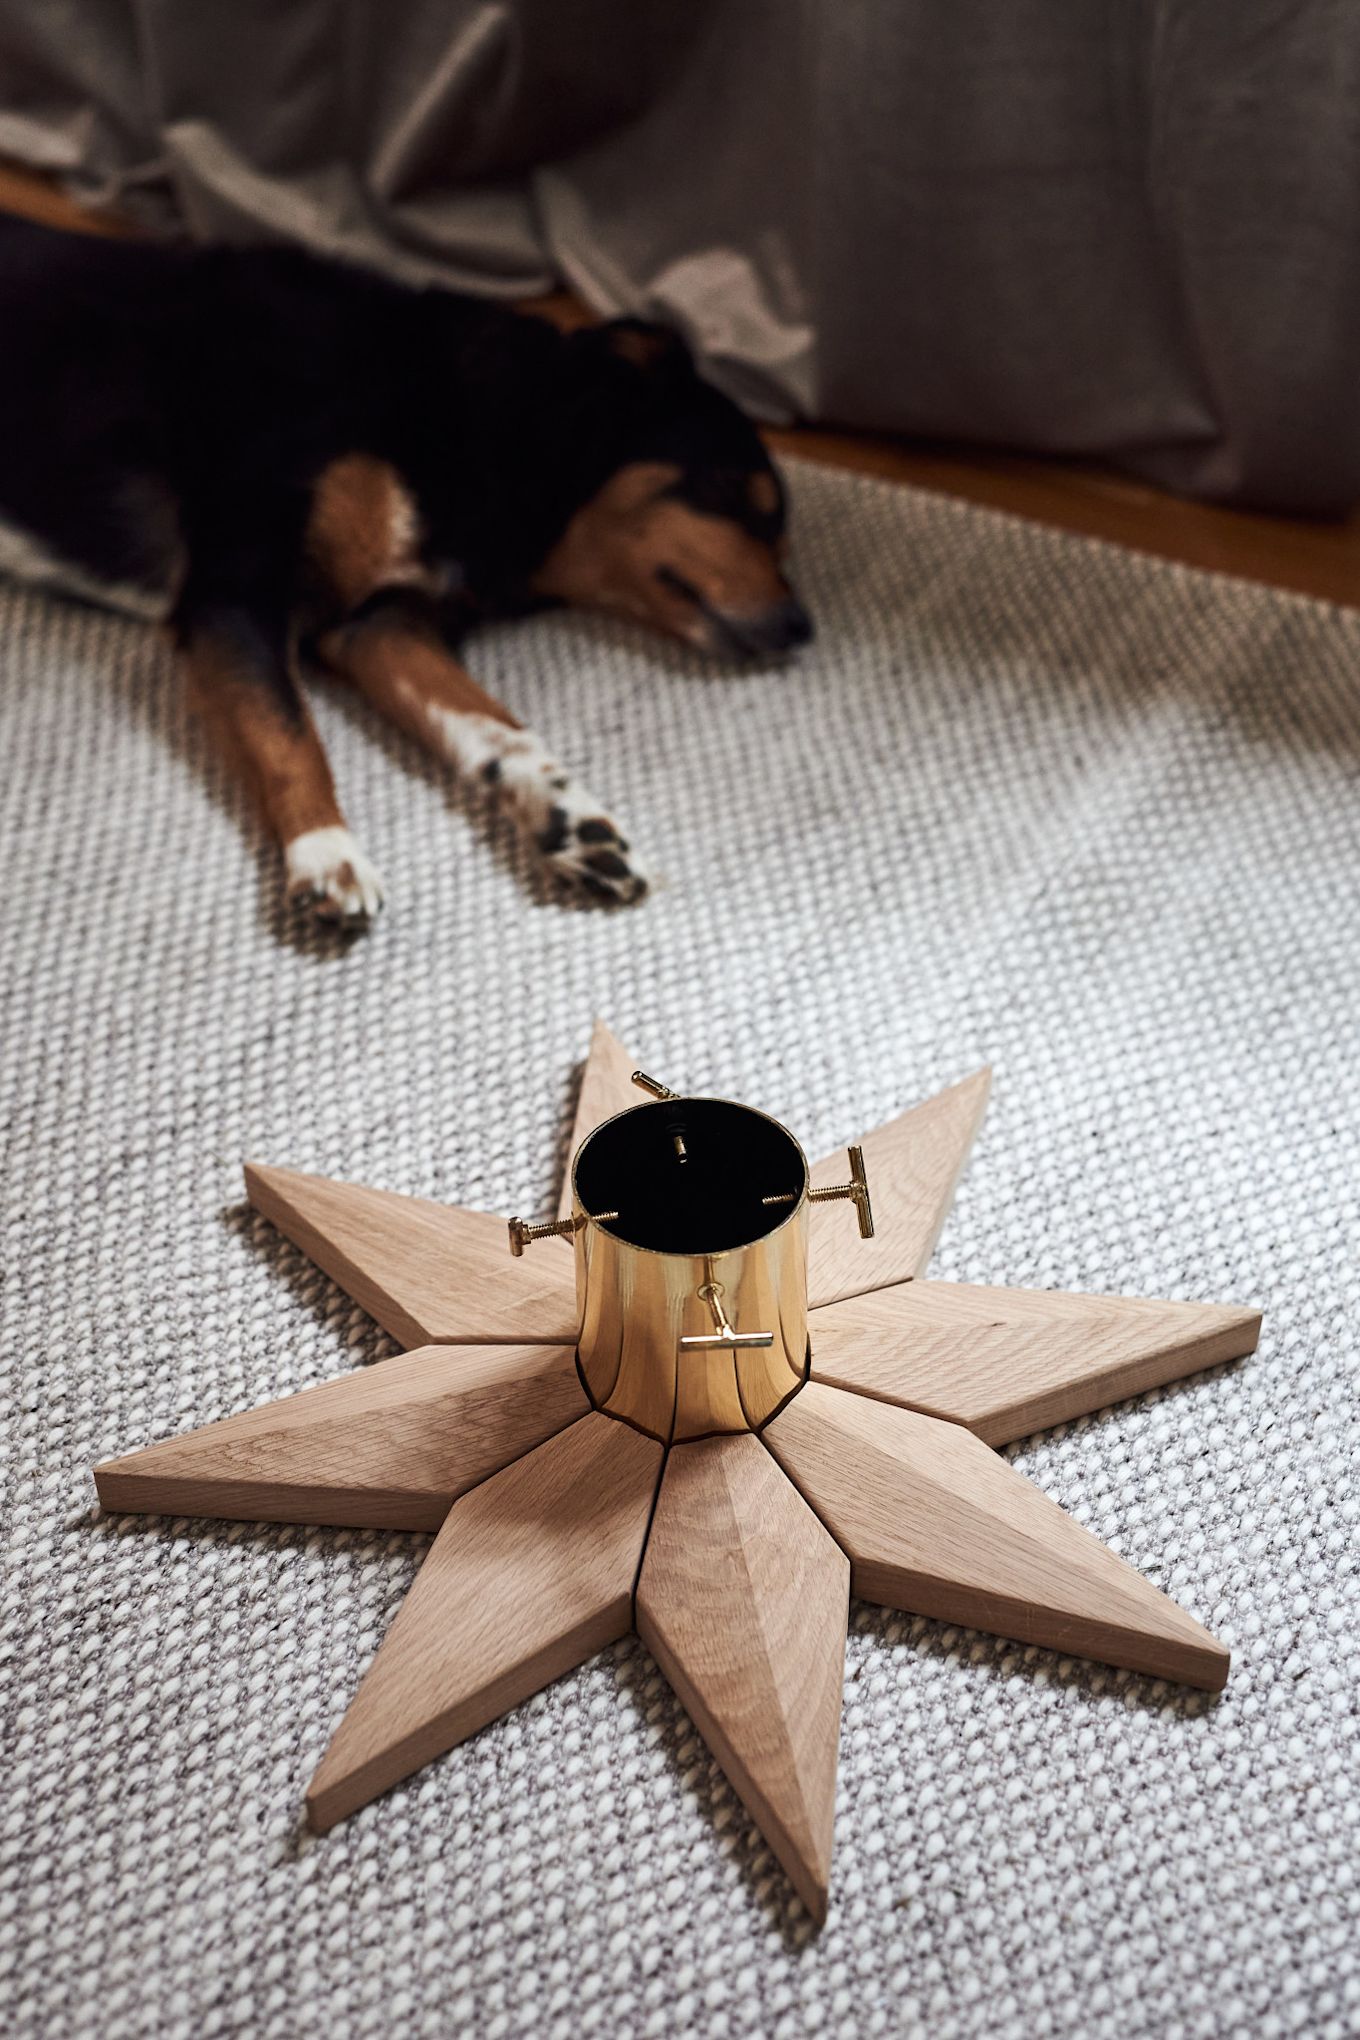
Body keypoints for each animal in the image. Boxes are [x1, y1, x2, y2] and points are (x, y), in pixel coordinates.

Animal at [0, 213, 807, 918]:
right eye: (734, 493)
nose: (804, 629)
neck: (479, 424)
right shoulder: (235, 590)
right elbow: (288, 729)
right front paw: (326, 852)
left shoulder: (380, 621)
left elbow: (499, 731)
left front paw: (571, 821)